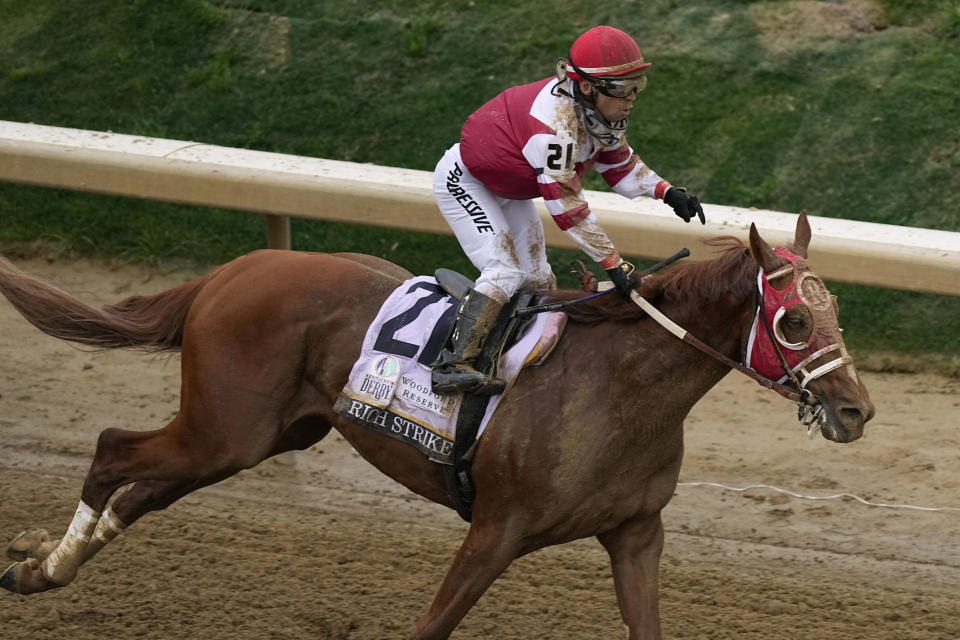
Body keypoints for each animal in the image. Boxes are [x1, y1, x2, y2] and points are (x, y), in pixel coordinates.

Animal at [0, 215, 872, 640]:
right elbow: (431, 625)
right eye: (794, 321)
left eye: (837, 311)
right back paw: (45, 564)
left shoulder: (635, 531)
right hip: (225, 427)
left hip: (263, 436)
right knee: (114, 451)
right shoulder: (496, 529)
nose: (857, 409)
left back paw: (40, 567)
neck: (619, 386)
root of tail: (237, 269)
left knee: (144, 490)